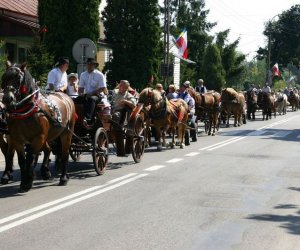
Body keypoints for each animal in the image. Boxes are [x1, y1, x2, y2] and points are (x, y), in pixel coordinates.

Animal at [1, 62, 76, 191]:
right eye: (4, 77)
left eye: (18, 78)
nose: (6, 98)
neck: (26, 110)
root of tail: (65, 97)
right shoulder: (17, 139)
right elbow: (22, 160)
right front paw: (24, 182)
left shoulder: (38, 137)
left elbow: (31, 157)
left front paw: (28, 180)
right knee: (48, 149)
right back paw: (45, 171)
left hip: (66, 133)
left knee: (65, 154)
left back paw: (63, 178)